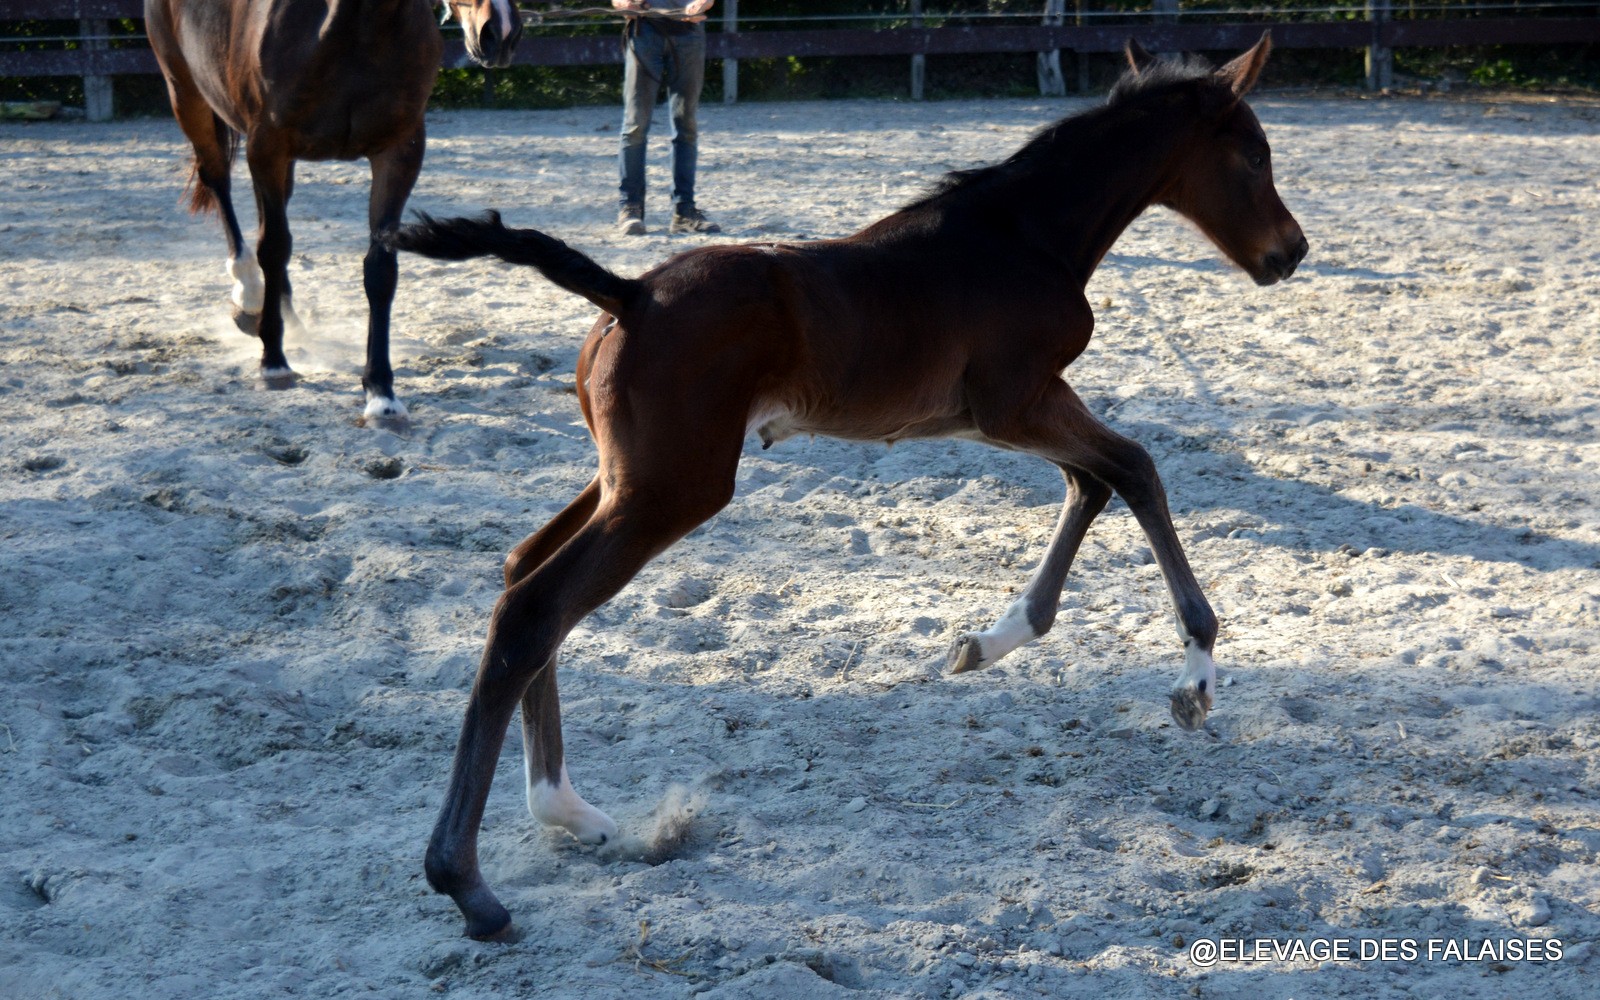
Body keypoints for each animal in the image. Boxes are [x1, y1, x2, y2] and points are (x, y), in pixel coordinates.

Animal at [145, 0, 524, 425]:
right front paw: (273, 360)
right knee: (221, 185)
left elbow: (381, 269)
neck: (355, 31)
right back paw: (250, 293)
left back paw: (287, 316)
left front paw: (381, 391)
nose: (501, 31)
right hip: (187, 96)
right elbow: (273, 248)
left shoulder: (400, 151)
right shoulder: (267, 146)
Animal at [393, 33, 1305, 934]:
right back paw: (467, 882)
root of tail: (633, 293)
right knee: (534, 609)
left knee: (523, 570)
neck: (1023, 234)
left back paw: (568, 811)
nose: (1291, 252)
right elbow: (1135, 470)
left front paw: (995, 639)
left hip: (629, 478)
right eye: (1255, 155)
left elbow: (1094, 483)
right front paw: (1195, 680)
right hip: (674, 488)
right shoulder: (1017, 400)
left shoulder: (1008, 412)